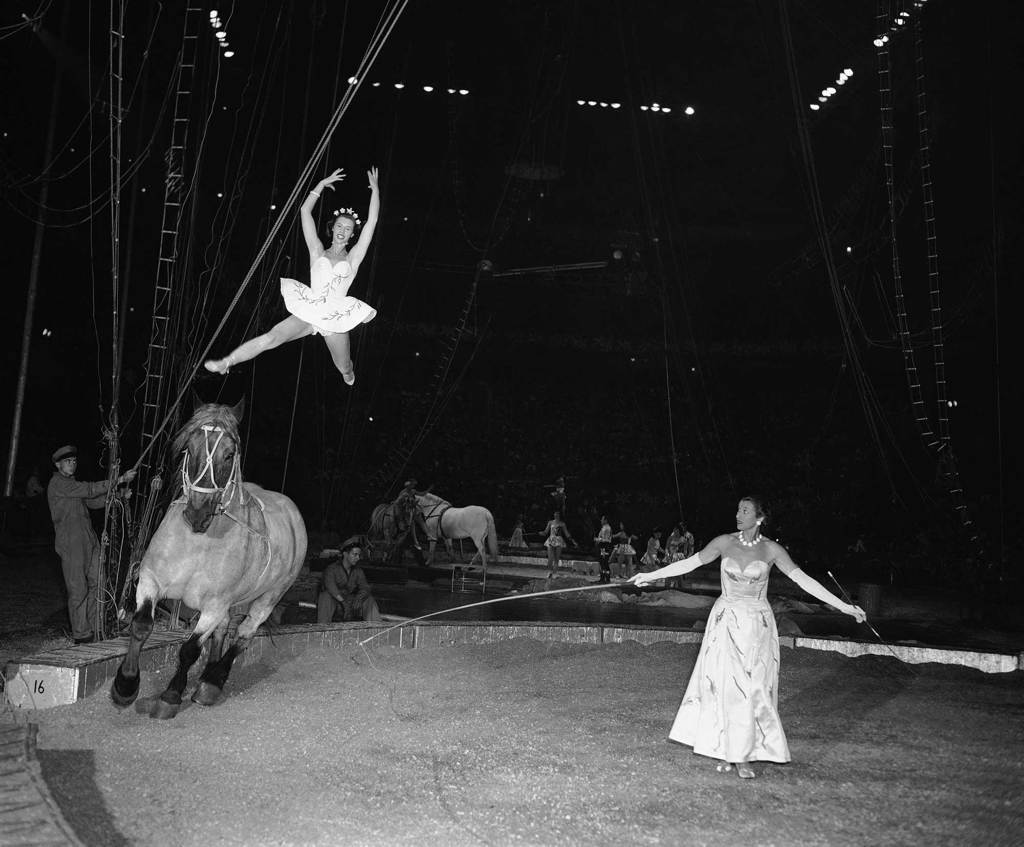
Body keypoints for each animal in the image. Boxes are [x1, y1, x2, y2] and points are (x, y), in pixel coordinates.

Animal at [111, 400, 307, 719]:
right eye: (189, 448)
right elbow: (141, 625)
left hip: (271, 595)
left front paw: (170, 696)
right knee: (225, 631)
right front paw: (125, 686)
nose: (197, 513)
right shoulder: (150, 581)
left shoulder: (214, 605)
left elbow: (190, 650)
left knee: (244, 634)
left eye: (229, 454)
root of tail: (291, 510)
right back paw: (207, 677)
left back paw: (212, 683)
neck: (197, 544)